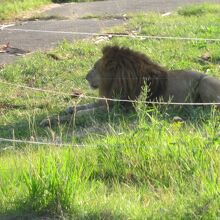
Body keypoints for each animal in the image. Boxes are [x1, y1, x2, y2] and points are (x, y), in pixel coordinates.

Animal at [40, 45, 220, 127]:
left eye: (95, 67)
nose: (85, 77)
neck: (114, 82)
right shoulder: (108, 101)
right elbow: (85, 106)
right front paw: (70, 108)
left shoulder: (117, 108)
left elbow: (82, 114)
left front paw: (49, 120)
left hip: (205, 81)